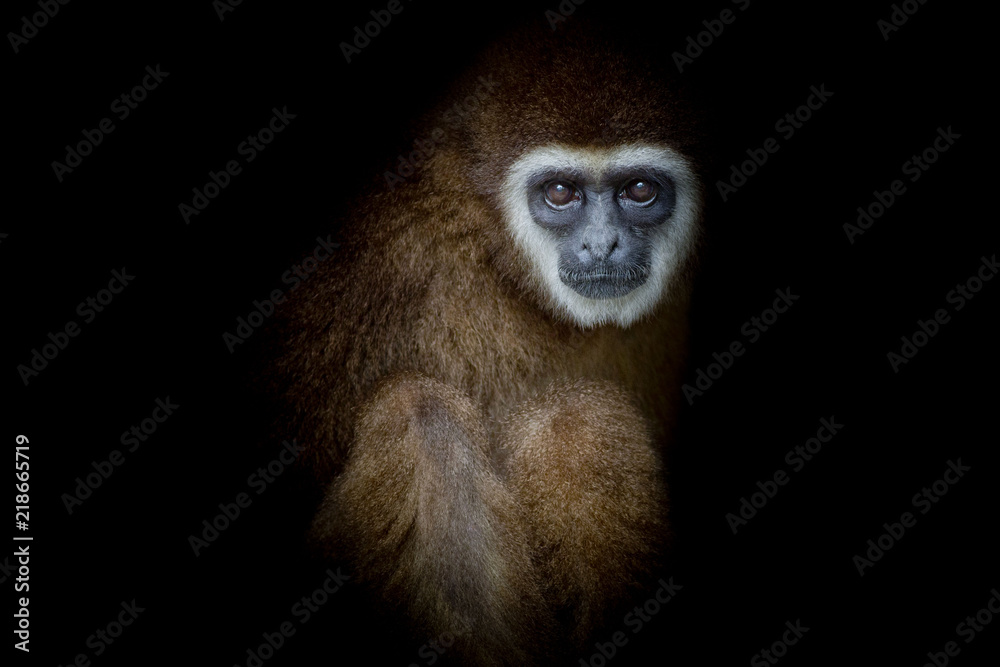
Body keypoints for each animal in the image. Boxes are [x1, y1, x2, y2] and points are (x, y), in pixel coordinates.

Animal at [261, 18, 705, 666]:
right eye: (561, 193)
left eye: (641, 190)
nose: (603, 245)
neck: (500, 257)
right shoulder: (394, 256)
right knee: (428, 413)